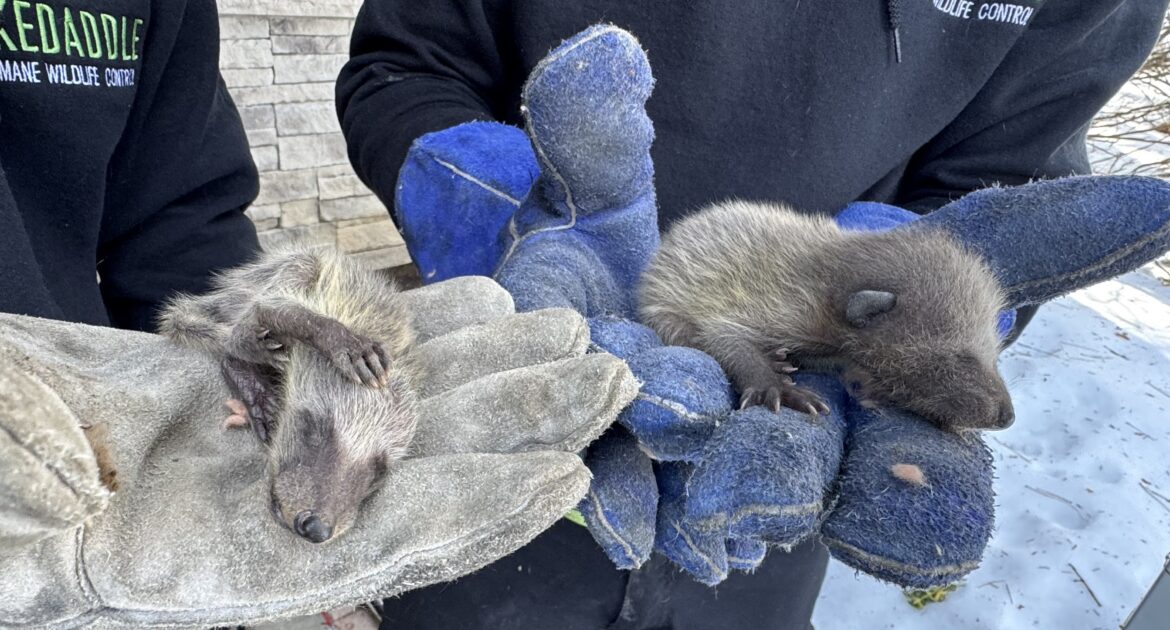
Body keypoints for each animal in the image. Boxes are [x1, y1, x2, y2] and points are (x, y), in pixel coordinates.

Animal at [639, 200, 1014, 432]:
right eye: (961, 358)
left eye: (993, 355)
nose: (1007, 417)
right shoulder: (780, 302)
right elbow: (723, 338)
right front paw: (775, 386)